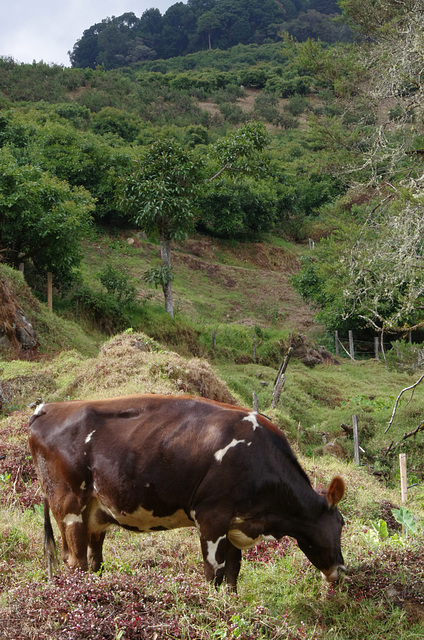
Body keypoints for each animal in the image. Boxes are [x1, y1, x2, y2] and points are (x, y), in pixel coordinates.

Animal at [28, 396, 346, 592]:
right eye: (341, 524)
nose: (341, 570)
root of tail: (47, 408)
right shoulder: (212, 517)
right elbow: (214, 573)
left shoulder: (234, 523)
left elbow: (233, 573)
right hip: (69, 505)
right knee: (77, 562)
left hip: (95, 513)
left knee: (93, 560)